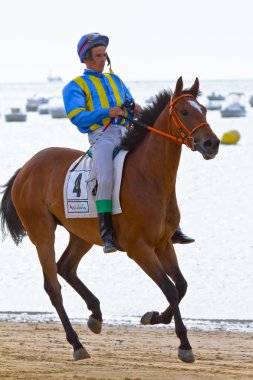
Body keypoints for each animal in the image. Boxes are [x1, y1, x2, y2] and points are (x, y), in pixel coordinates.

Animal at [0, 76, 219, 362]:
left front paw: (154, 317)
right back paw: (76, 343)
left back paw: (95, 314)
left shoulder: (163, 244)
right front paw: (184, 344)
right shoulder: (140, 249)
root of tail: (26, 168)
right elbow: (170, 288)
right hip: (42, 234)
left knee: (66, 267)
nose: (212, 144)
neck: (150, 177)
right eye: (184, 112)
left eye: (203, 110)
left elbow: (181, 285)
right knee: (53, 286)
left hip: (82, 233)